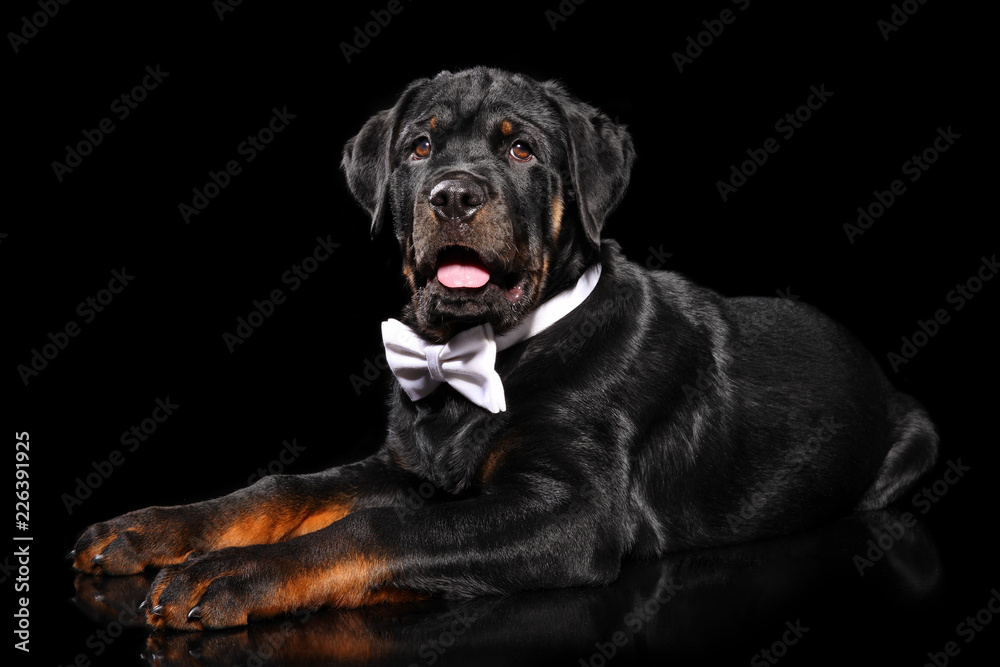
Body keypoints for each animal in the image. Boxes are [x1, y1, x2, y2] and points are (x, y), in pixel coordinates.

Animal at [70, 69, 936, 632]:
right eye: (418, 147)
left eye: (521, 151)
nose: (453, 193)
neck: (476, 356)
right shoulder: (410, 463)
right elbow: (284, 489)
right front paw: (153, 529)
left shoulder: (574, 512)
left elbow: (380, 530)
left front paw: (232, 571)